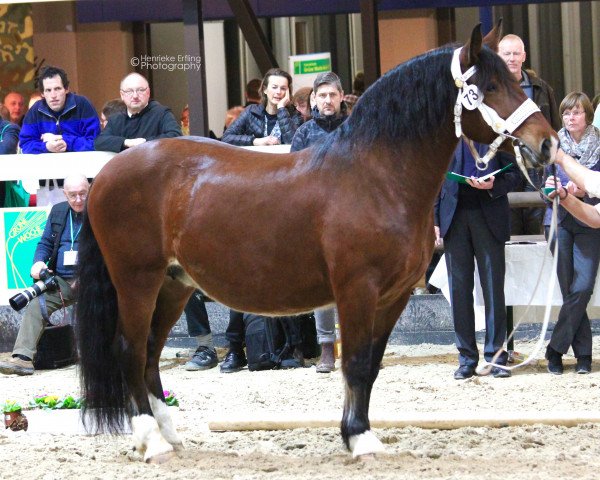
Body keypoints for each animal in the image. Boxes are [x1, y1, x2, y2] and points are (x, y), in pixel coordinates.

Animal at [75, 23, 556, 464]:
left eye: (516, 79)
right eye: (490, 86)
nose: (548, 143)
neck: (378, 176)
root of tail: (109, 172)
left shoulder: (395, 296)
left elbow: (371, 366)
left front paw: (359, 433)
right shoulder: (357, 290)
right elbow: (355, 362)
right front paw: (359, 438)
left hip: (174, 285)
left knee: (150, 354)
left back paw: (170, 435)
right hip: (137, 282)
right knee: (130, 350)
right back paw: (151, 440)